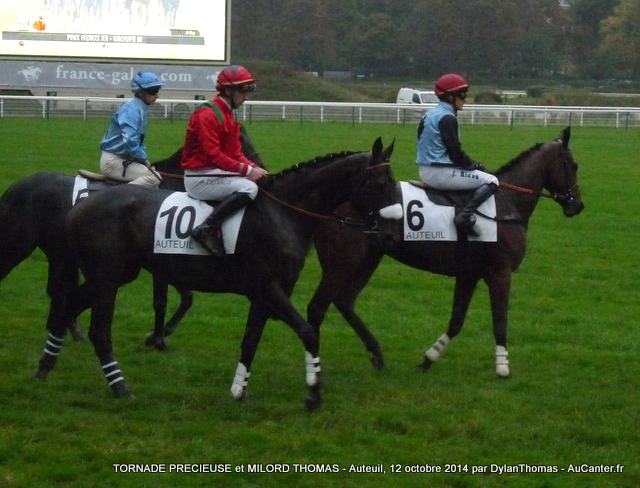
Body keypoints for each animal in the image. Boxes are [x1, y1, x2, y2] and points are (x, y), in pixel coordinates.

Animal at [52, 139, 400, 410]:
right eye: (382, 183)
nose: (391, 234)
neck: (283, 212)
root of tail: (78, 207)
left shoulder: (263, 295)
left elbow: (250, 341)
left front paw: (239, 390)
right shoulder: (269, 288)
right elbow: (307, 332)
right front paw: (314, 394)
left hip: (111, 276)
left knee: (68, 305)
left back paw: (46, 367)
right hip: (108, 279)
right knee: (98, 330)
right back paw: (118, 385)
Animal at [308, 126, 584, 374]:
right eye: (574, 165)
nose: (578, 205)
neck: (506, 203)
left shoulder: (469, 275)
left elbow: (456, 320)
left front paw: (428, 359)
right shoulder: (500, 273)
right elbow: (500, 321)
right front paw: (503, 366)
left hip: (368, 258)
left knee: (345, 301)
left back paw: (376, 354)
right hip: (341, 263)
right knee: (320, 306)